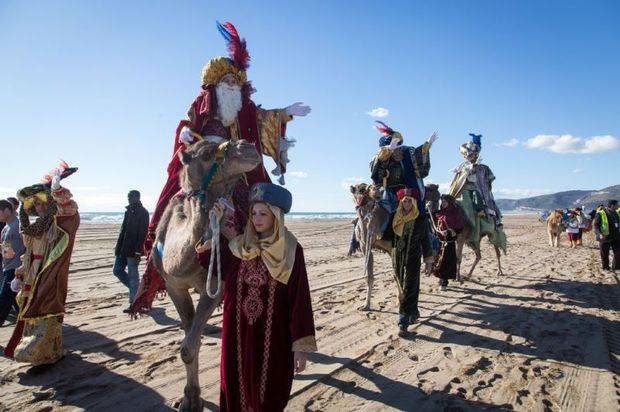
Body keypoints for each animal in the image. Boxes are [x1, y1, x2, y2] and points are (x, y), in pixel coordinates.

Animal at [153, 139, 264, 412]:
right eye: (204, 154)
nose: (247, 147)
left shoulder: (215, 285)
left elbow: (189, 346)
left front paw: (193, 399)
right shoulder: (174, 286)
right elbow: (188, 343)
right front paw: (188, 399)